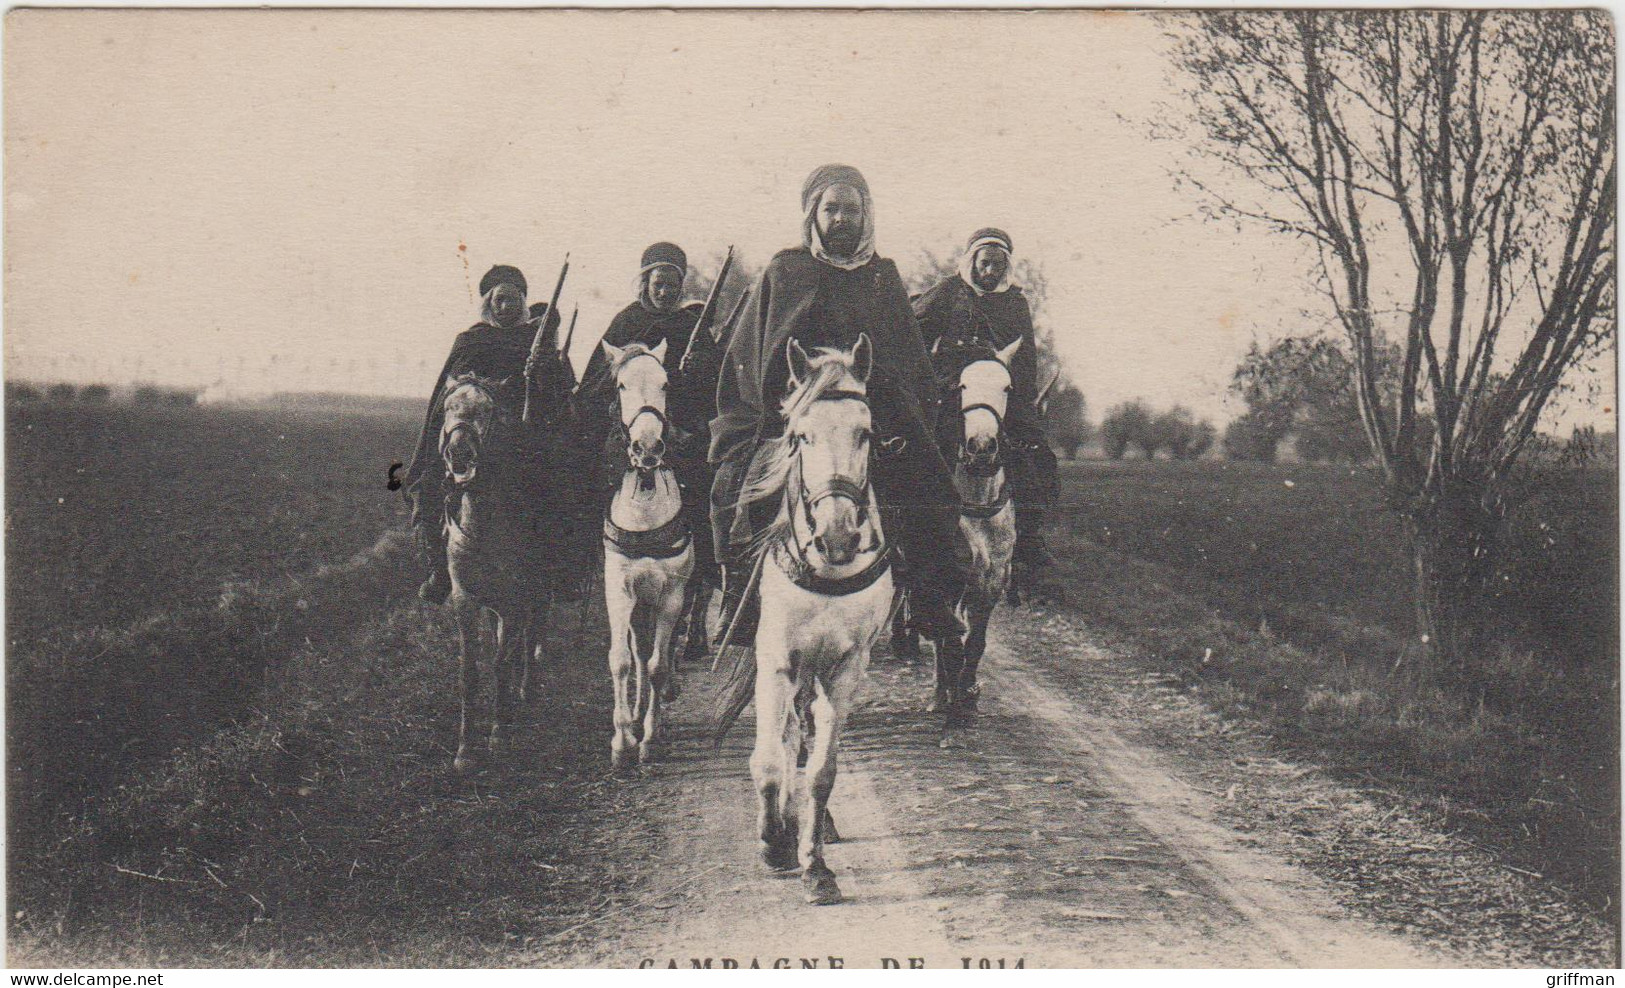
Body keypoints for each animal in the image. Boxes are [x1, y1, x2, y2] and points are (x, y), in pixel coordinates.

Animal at [711, 336, 890, 910]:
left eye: (865, 432)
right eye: (800, 435)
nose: (837, 538)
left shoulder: (845, 667)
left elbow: (821, 771)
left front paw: (817, 865)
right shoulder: (776, 661)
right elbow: (770, 761)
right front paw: (774, 844)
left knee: (804, 739)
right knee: (787, 739)